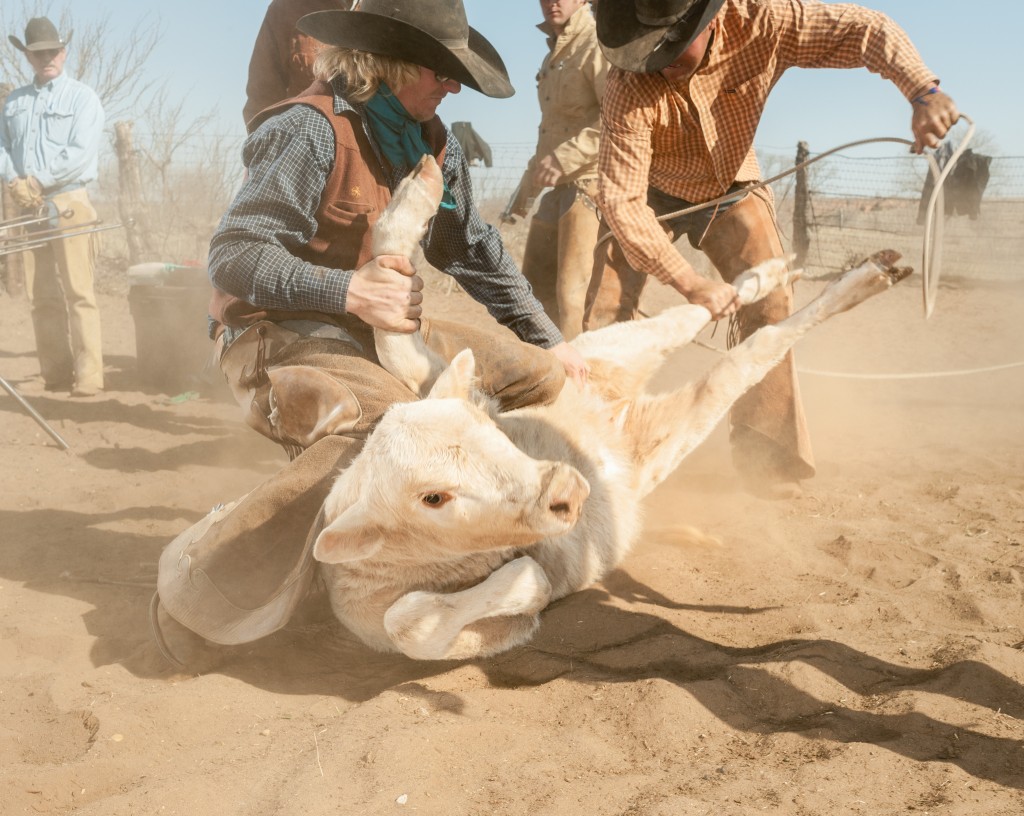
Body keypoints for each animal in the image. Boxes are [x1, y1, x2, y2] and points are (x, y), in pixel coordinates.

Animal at [307, 155, 909, 659]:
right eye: (433, 497)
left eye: (490, 432)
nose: (567, 488)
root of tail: (613, 408)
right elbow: (411, 621)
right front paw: (528, 580)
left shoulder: (446, 381)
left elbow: (396, 340)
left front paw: (418, 193)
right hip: (656, 429)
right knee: (741, 353)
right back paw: (850, 276)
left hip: (608, 350)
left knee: (710, 318)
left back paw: (814, 272)